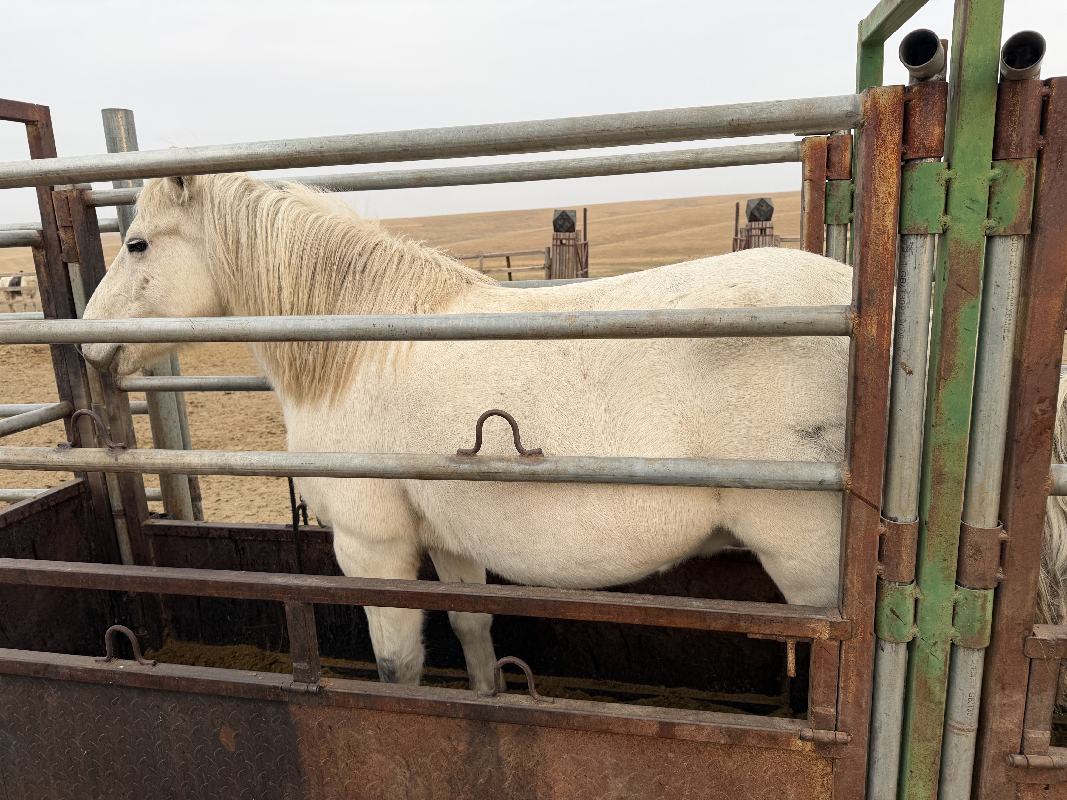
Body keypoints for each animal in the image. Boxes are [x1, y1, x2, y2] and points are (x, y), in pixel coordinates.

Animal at [79, 172, 1058, 692]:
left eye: (135, 244)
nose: (87, 342)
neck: (362, 346)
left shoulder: (372, 545)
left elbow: (398, 670)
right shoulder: (451, 541)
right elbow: (472, 636)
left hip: (812, 565)